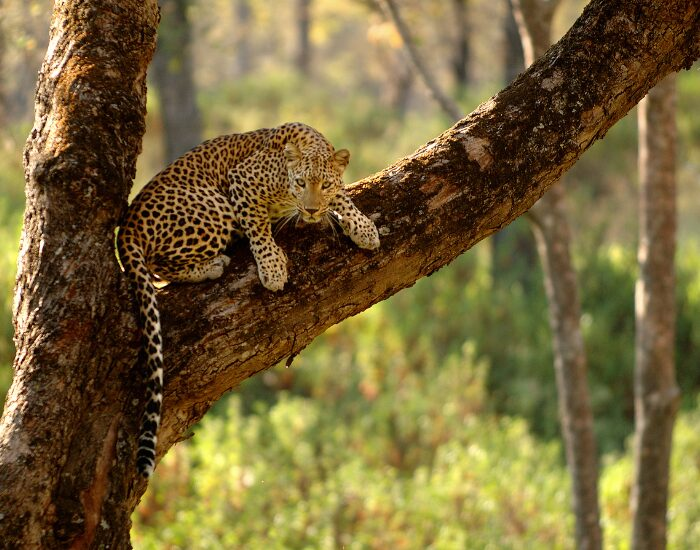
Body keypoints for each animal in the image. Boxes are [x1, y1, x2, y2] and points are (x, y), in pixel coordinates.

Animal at [117, 122, 380, 479]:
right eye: (300, 183)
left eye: (322, 184)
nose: (311, 210)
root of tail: (126, 227)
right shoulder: (242, 180)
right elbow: (257, 225)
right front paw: (272, 267)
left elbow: (342, 195)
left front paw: (363, 227)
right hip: (215, 206)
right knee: (159, 266)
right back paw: (213, 265)